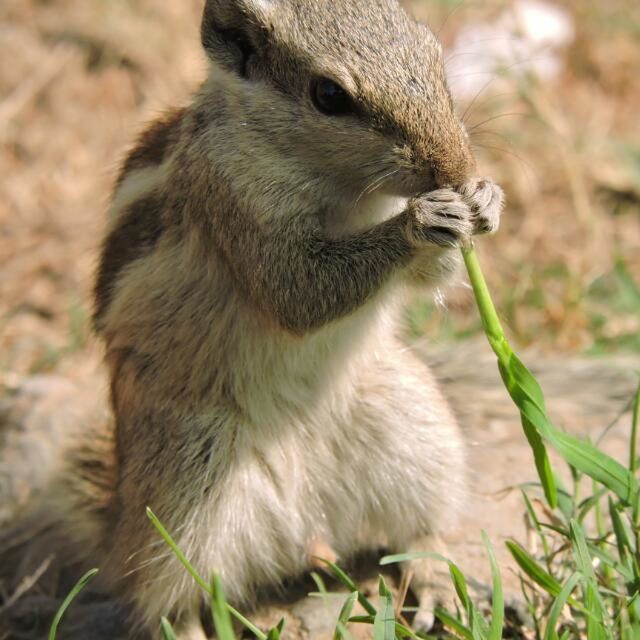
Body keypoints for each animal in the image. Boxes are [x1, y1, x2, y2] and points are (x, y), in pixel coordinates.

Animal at [2, 1, 504, 640]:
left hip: (418, 426)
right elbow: (296, 291)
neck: (345, 190)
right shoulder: (234, 200)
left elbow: (427, 278)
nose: (457, 166)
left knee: (419, 526)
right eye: (329, 95)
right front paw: (422, 221)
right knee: (162, 595)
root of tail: (305, 528)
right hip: (182, 486)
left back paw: (437, 577)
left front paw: (485, 199)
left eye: (433, 52)